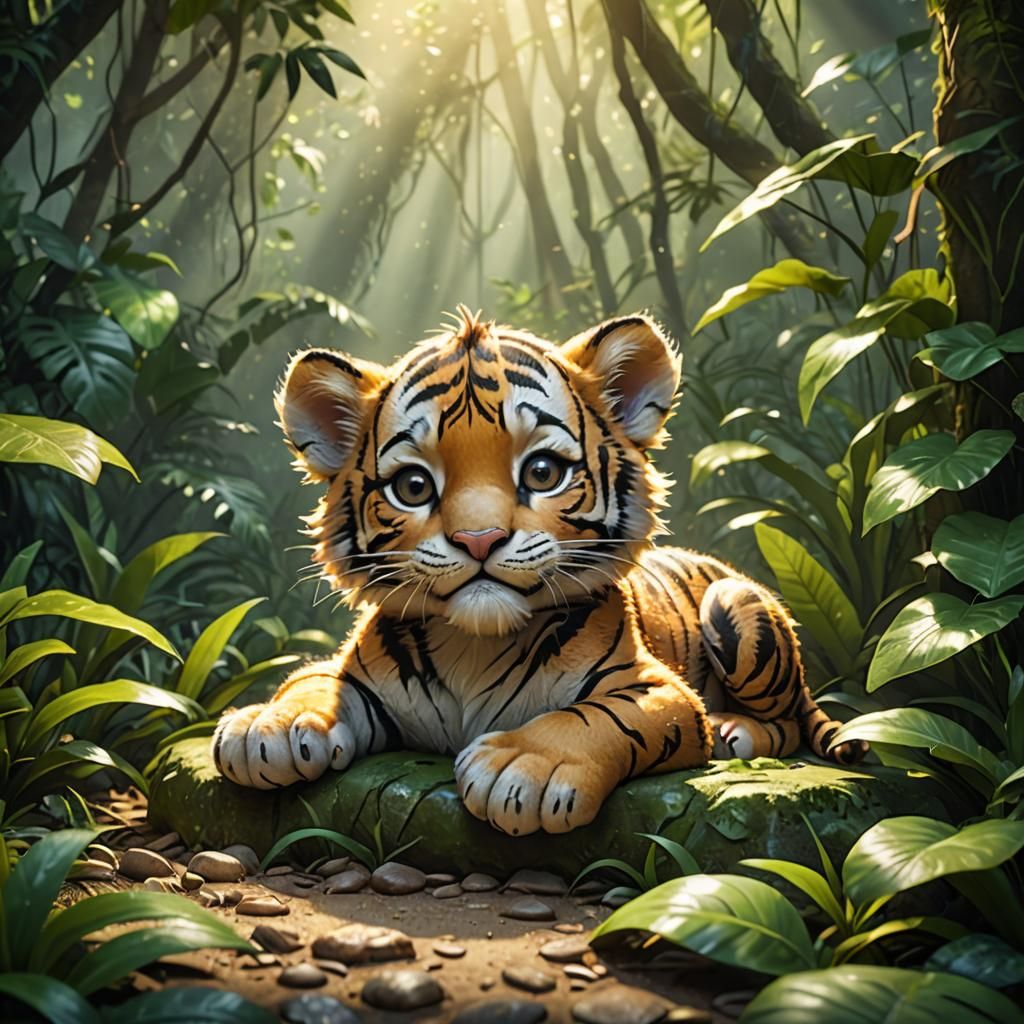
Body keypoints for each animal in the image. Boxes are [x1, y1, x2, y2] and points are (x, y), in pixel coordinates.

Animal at [212, 307, 866, 836]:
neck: (471, 648)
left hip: (734, 607)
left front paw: (525, 768)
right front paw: (266, 727)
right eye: (414, 486)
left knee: (788, 721)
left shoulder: (658, 690)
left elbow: (597, 718)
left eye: (543, 472)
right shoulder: (361, 677)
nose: (479, 539)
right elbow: (313, 680)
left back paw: (736, 731)